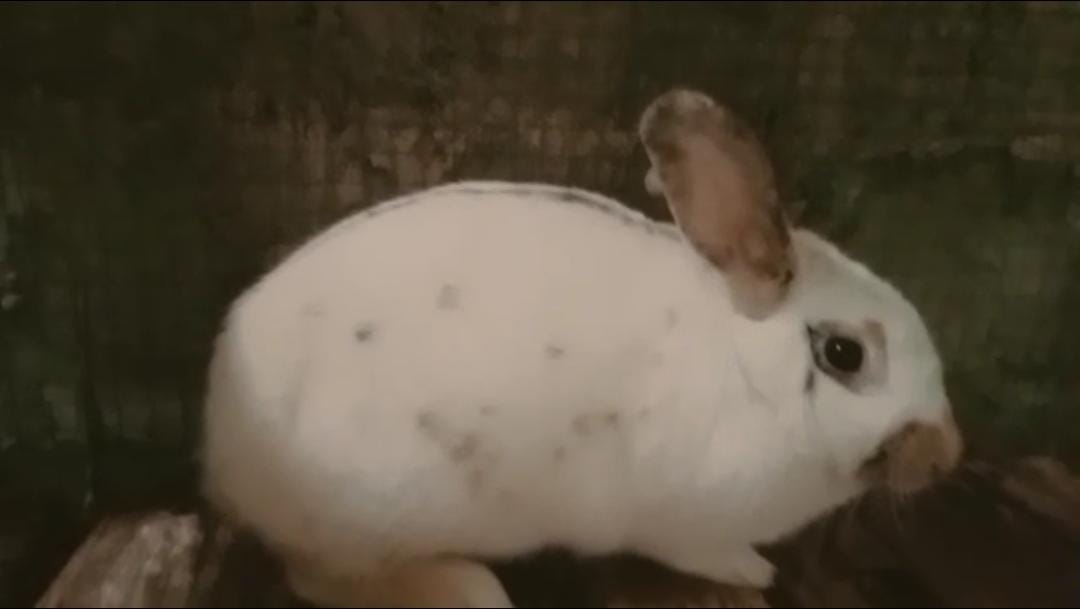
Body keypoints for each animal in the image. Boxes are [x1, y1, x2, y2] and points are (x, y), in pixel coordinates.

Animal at [199, 88, 964, 608]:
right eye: (843, 354)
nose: (946, 454)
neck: (748, 378)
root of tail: (221, 448)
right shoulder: (676, 520)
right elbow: (703, 549)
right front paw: (754, 568)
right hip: (373, 513)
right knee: (320, 578)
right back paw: (468, 587)